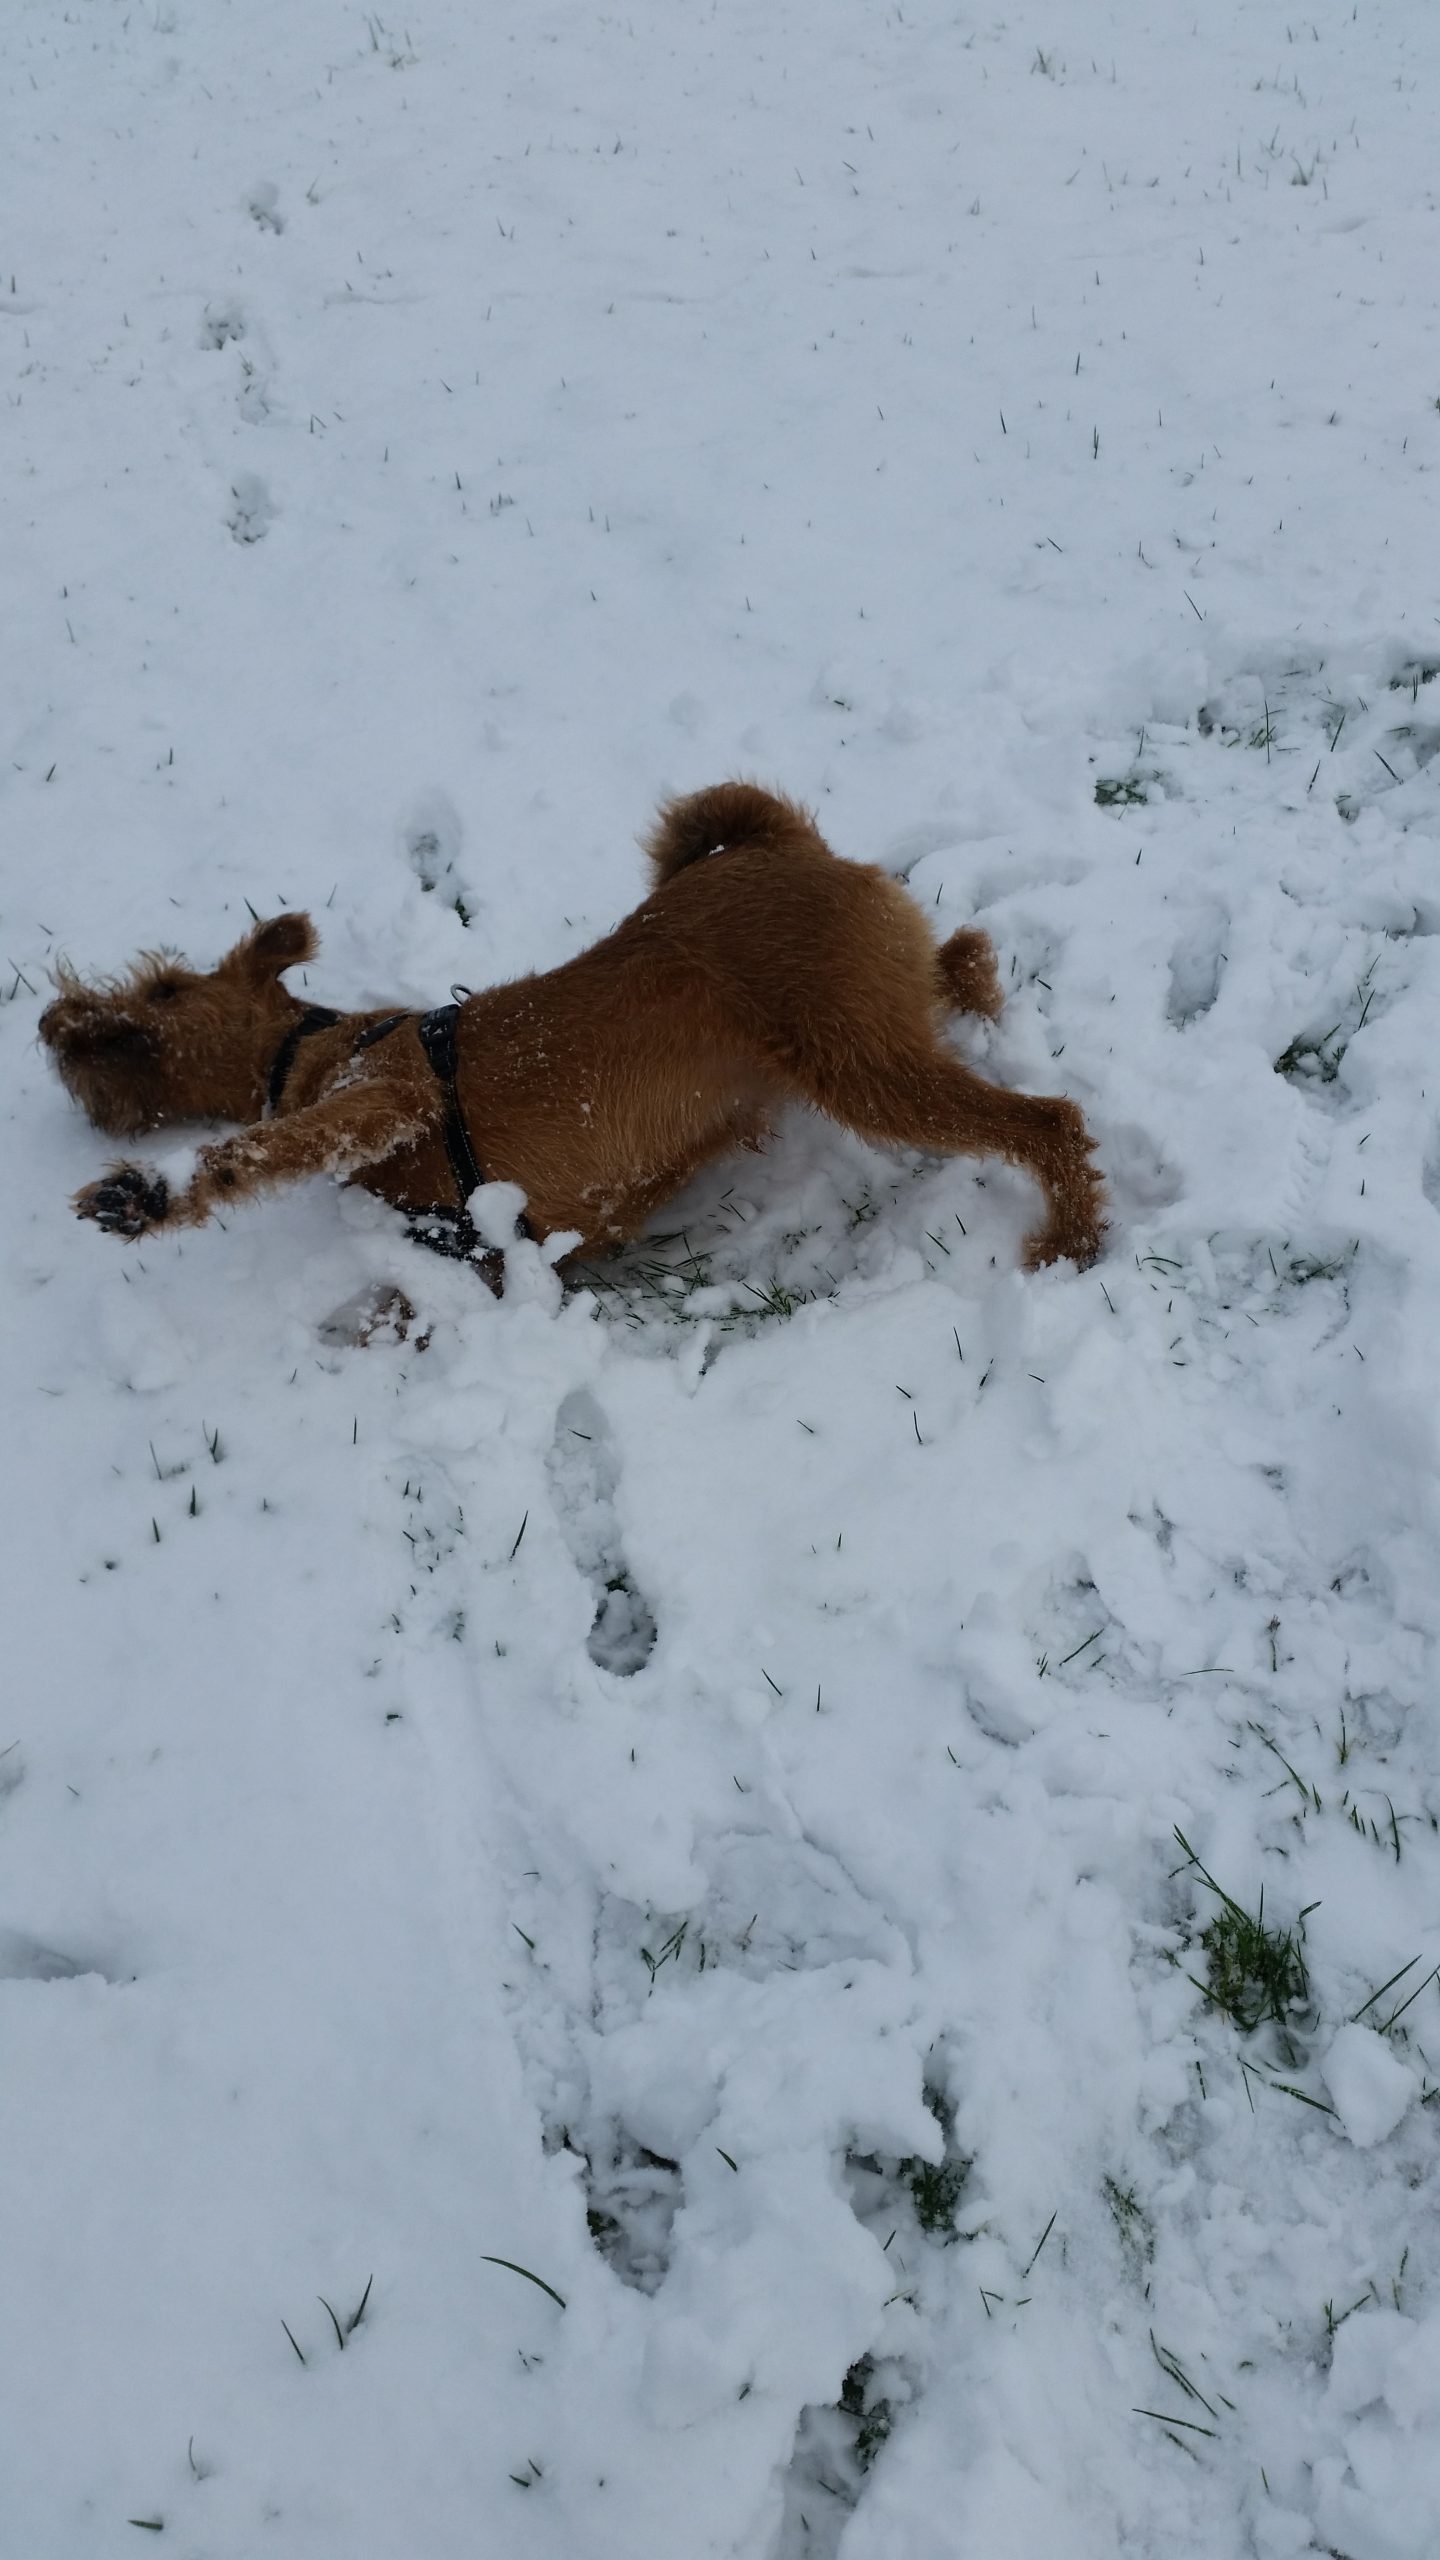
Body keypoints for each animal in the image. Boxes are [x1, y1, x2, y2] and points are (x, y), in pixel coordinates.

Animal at [39, 782, 1105, 1275]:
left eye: (165, 989)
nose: (53, 1022)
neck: (316, 1043)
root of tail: (784, 841)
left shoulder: (384, 1098)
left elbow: (257, 1152)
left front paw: (146, 1194)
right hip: (877, 1016)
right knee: (962, 953)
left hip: (859, 1063)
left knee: (1047, 1120)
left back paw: (1071, 1238)